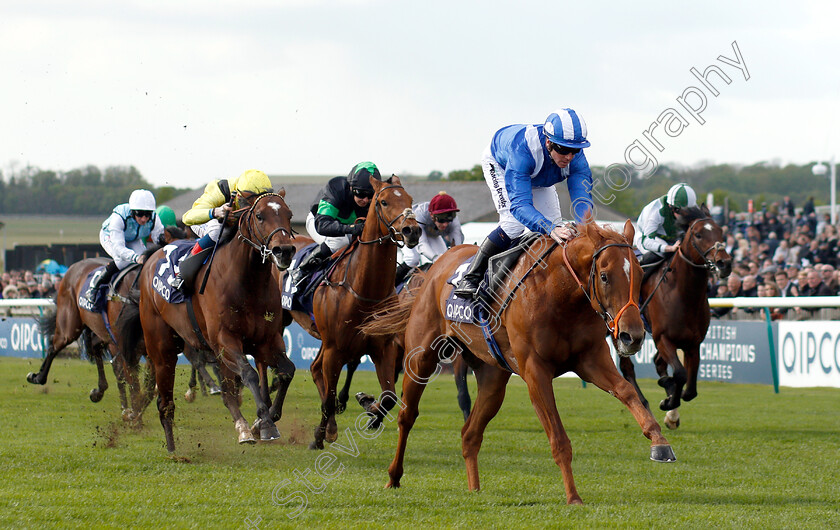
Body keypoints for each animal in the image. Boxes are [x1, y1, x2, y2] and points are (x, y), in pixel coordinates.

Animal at [118, 190, 296, 450]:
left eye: (289, 214)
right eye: (260, 216)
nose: (285, 251)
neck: (247, 282)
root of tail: (152, 258)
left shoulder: (266, 341)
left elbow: (287, 371)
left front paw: (263, 421)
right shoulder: (225, 340)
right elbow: (249, 373)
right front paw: (265, 423)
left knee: (226, 392)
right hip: (161, 345)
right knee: (164, 393)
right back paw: (170, 444)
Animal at [288, 175, 420, 448]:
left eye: (410, 199)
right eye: (383, 201)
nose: (412, 230)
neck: (364, 289)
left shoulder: (383, 347)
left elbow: (389, 396)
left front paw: (369, 407)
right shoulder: (335, 348)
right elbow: (329, 399)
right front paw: (317, 437)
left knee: (315, 368)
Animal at [364, 220, 672, 504]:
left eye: (640, 273)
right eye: (605, 276)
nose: (632, 336)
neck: (560, 292)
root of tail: (436, 267)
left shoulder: (591, 359)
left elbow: (627, 391)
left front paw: (660, 443)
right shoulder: (536, 371)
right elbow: (558, 438)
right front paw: (573, 496)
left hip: (492, 378)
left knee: (469, 433)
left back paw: (474, 489)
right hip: (422, 357)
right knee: (407, 417)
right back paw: (393, 475)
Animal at [620, 204, 732, 426]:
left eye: (720, 231)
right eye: (698, 234)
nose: (724, 263)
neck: (682, 295)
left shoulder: (693, 343)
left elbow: (690, 389)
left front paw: (671, 401)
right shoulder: (663, 338)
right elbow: (680, 374)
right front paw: (668, 400)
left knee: (657, 363)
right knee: (628, 368)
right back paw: (644, 402)